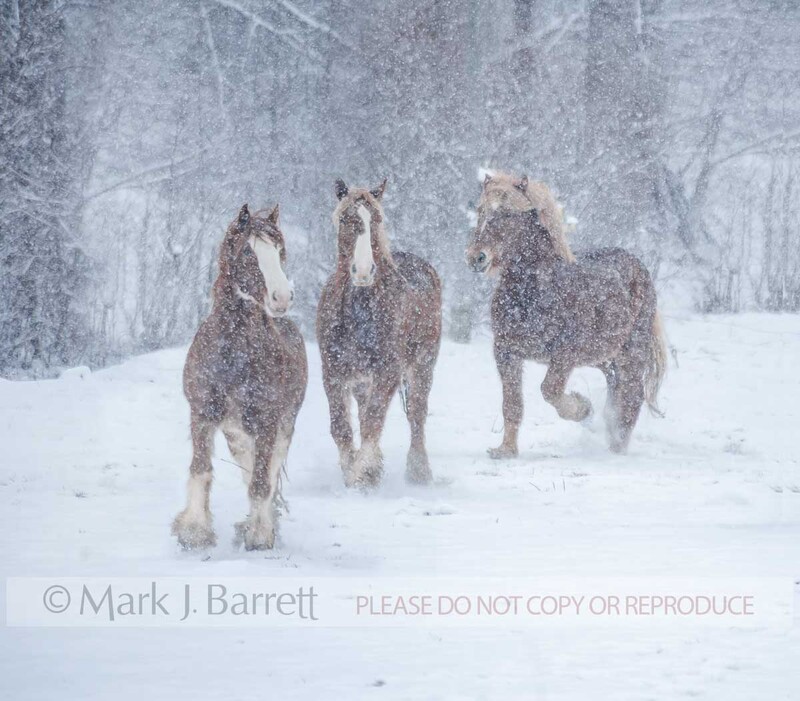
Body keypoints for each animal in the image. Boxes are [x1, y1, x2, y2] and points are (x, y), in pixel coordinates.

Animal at [172, 203, 308, 550]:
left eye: (279, 249)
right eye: (248, 251)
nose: (282, 297)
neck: (234, 355)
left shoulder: (268, 421)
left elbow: (262, 481)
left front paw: (259, 535)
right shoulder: (202, 413)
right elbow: (201, 469)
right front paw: (194, 531)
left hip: (282, 426)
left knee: (267, 473)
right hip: (236, 430)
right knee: (248, 466)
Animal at [316, 178, 442, 488]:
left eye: (377, 219)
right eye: (346, 218)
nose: (363, 271)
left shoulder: (388, 372)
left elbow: (374, 421)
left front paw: (362, 473)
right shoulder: (333, 371)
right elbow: (342, 426)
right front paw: (355, 471)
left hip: (423, 365)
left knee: (417, 413)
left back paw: (419, 471)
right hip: (363, 379)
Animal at [465, 173, 666, 455]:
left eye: (507, 213)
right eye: (481, 210)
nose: (476, 258)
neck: (535, 292)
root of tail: (638, 265)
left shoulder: (565, 354)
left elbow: (549, 390)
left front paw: (583, 409)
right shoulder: (506, 352)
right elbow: (512, 404)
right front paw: (505, 450)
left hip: (631, 351)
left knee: (632, 394)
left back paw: (617, 445)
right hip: (604, 357)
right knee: (615, 388)